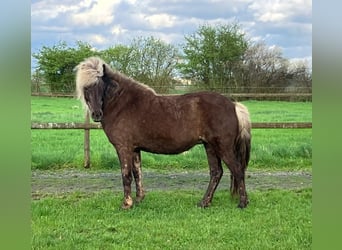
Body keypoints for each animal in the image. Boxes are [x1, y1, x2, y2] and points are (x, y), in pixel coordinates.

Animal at [75, 56, 251, 209]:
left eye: (101, 86)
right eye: (86, 88)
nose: (96, 114)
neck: (123, 104)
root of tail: (233, 105)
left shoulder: (123, 147)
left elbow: (126, 175)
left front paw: (126, 204)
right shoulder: (135, 149)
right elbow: (137, 173)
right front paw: (139, 199)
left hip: (223, 147)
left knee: (237, 169)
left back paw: (242, 203)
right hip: (210, 146)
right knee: (216, 173)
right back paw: (204, 203)